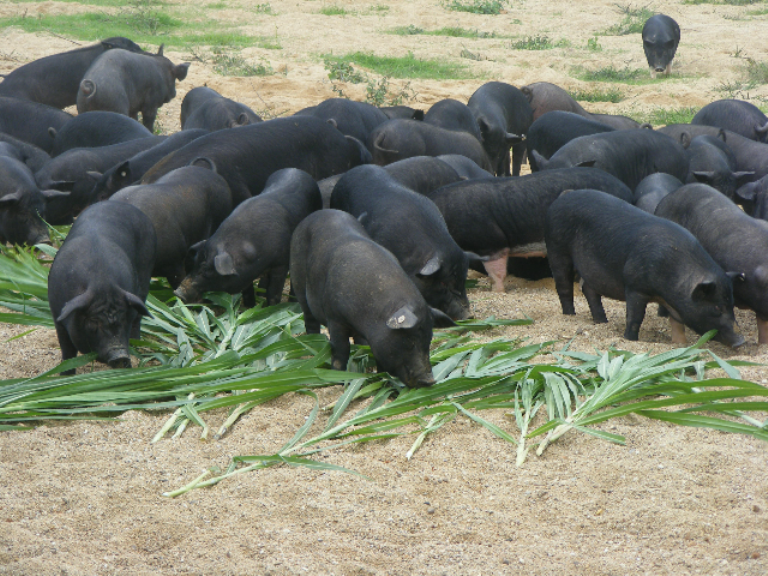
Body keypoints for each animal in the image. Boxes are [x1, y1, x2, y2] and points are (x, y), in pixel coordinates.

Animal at [47, 201, 156, 374]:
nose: (120, 355)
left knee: (138, 318)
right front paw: (65, 375)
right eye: (93, 321)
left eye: (124, 318)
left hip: (147, 269)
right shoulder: (58, 317)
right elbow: (67, 350)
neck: (101, 281)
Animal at [292, 208, 452, 388]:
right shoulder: (335, 318)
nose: (430, 380)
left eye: (428, 341)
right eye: (410, 342)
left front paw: (380, 376)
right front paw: (338, 379)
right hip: (298, 281)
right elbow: (341, 349)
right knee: (309, 318)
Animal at [544, 189, 740, 346]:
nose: (741, 341)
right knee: (563, 286)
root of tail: (564, 195)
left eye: (731, 304)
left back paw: (602, 321)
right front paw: (630, 339)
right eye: (717, 308)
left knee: (588, 289)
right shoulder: (634, 286)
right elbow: (635, 316)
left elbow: (678, 324)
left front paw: (681, 345)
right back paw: (570, 315)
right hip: (556, 247)